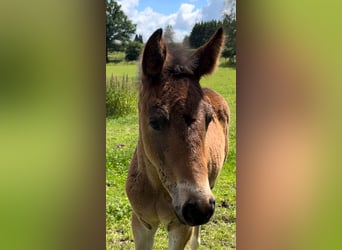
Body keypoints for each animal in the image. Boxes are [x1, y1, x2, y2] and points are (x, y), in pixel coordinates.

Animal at [125, 27, 230, 250]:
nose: (198, 208)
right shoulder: (141, 223)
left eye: (208, 119)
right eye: (154, 121)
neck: (157, 189)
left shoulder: (180, 227)